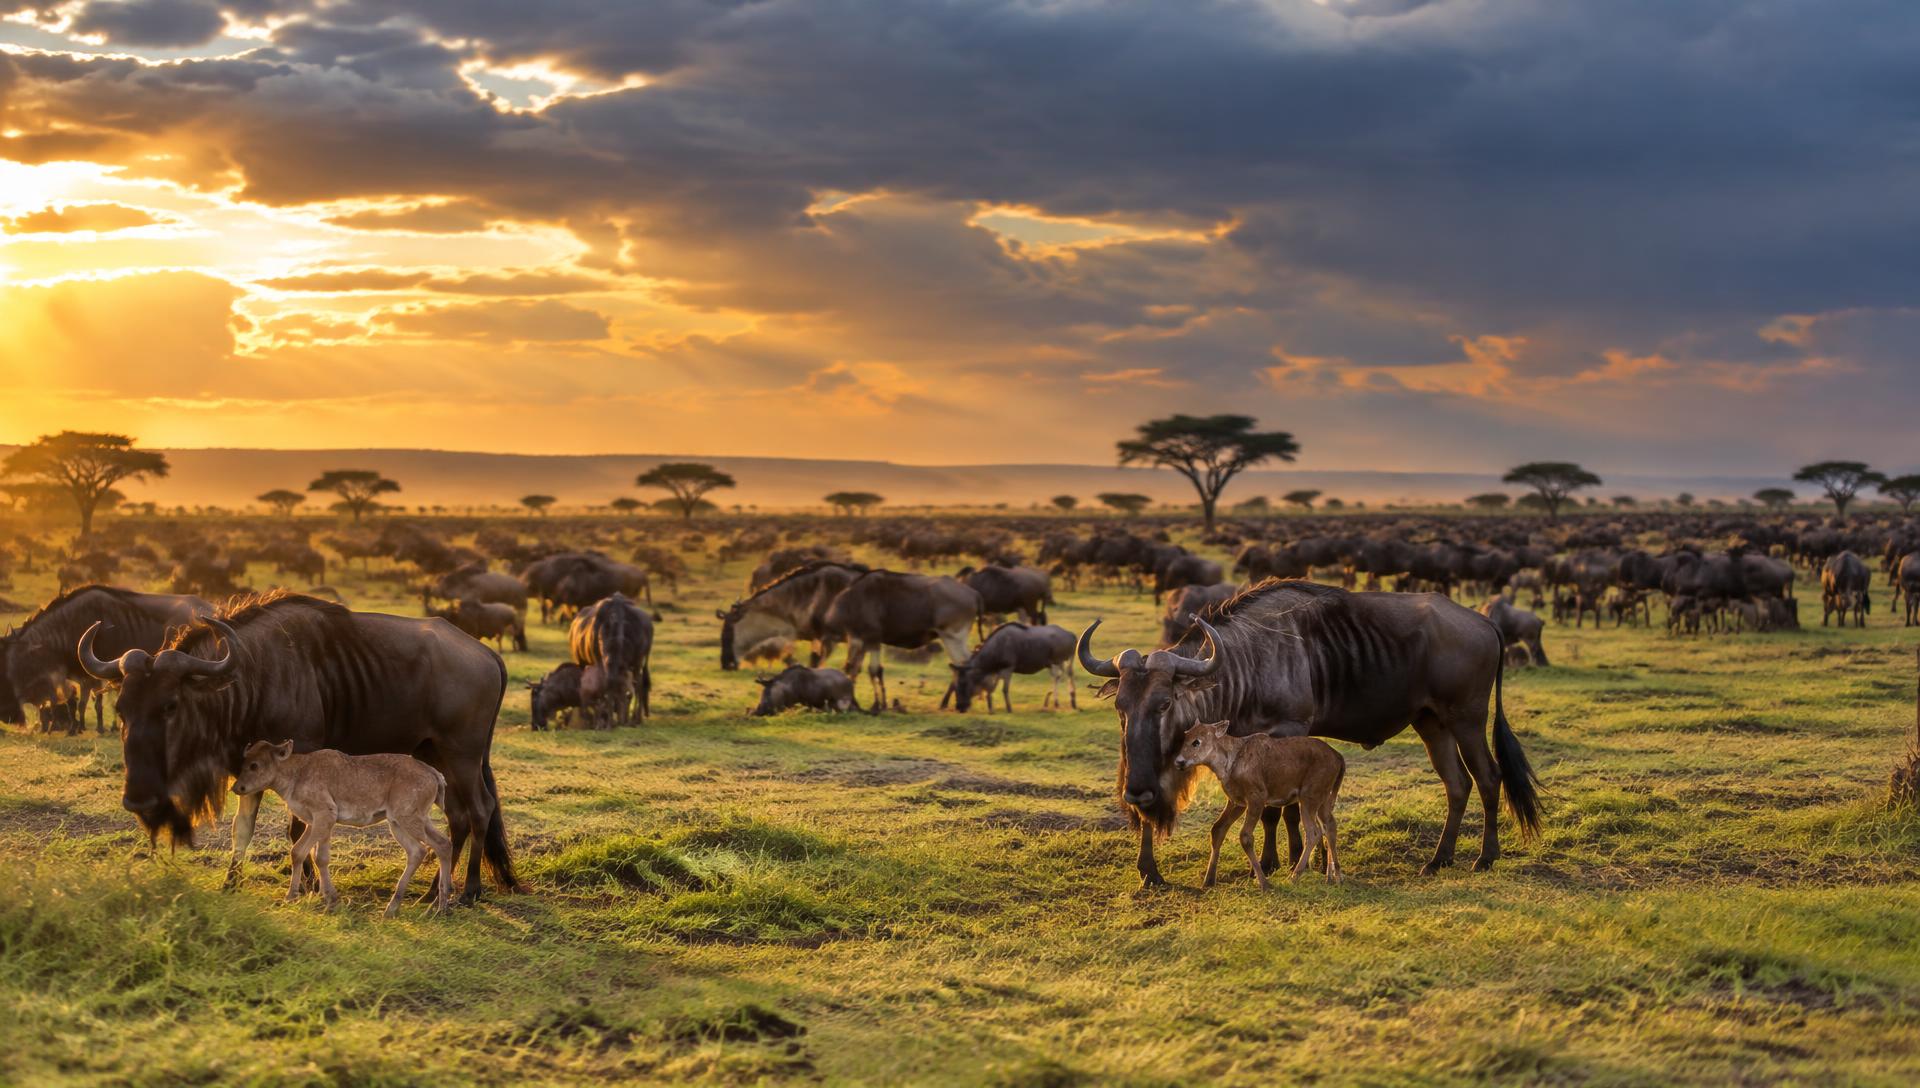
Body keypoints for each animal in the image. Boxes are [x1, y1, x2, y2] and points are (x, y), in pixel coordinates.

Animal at [76, 592, 516, 902]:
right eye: (122, 709)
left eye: (170, 706)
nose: (138, 800)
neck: (255, 674)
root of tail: (486, 654)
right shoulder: (248, 772)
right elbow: (242, 830)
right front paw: (231, 882)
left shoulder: (301, 762)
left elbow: (296, 829)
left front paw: (305, 884)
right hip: (432, 753)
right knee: (457, 816)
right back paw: (432, 891)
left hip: (463, 755)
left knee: (479, 808)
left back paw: (470, 891)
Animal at [1077, 579, 1541, 887]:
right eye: (1121, 707)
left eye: (1164, 704)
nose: (1137, 791)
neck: (1247, 660)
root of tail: (1484, 623)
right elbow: (1279, 809)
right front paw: (1293, 859)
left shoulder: (1289, 729)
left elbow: (1276, 810)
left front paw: (1283, 861)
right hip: (1432, 724)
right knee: (1457, 784)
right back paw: (1438, 860)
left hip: (1467, 720)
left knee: (1488, 778)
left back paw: (1485, 858)